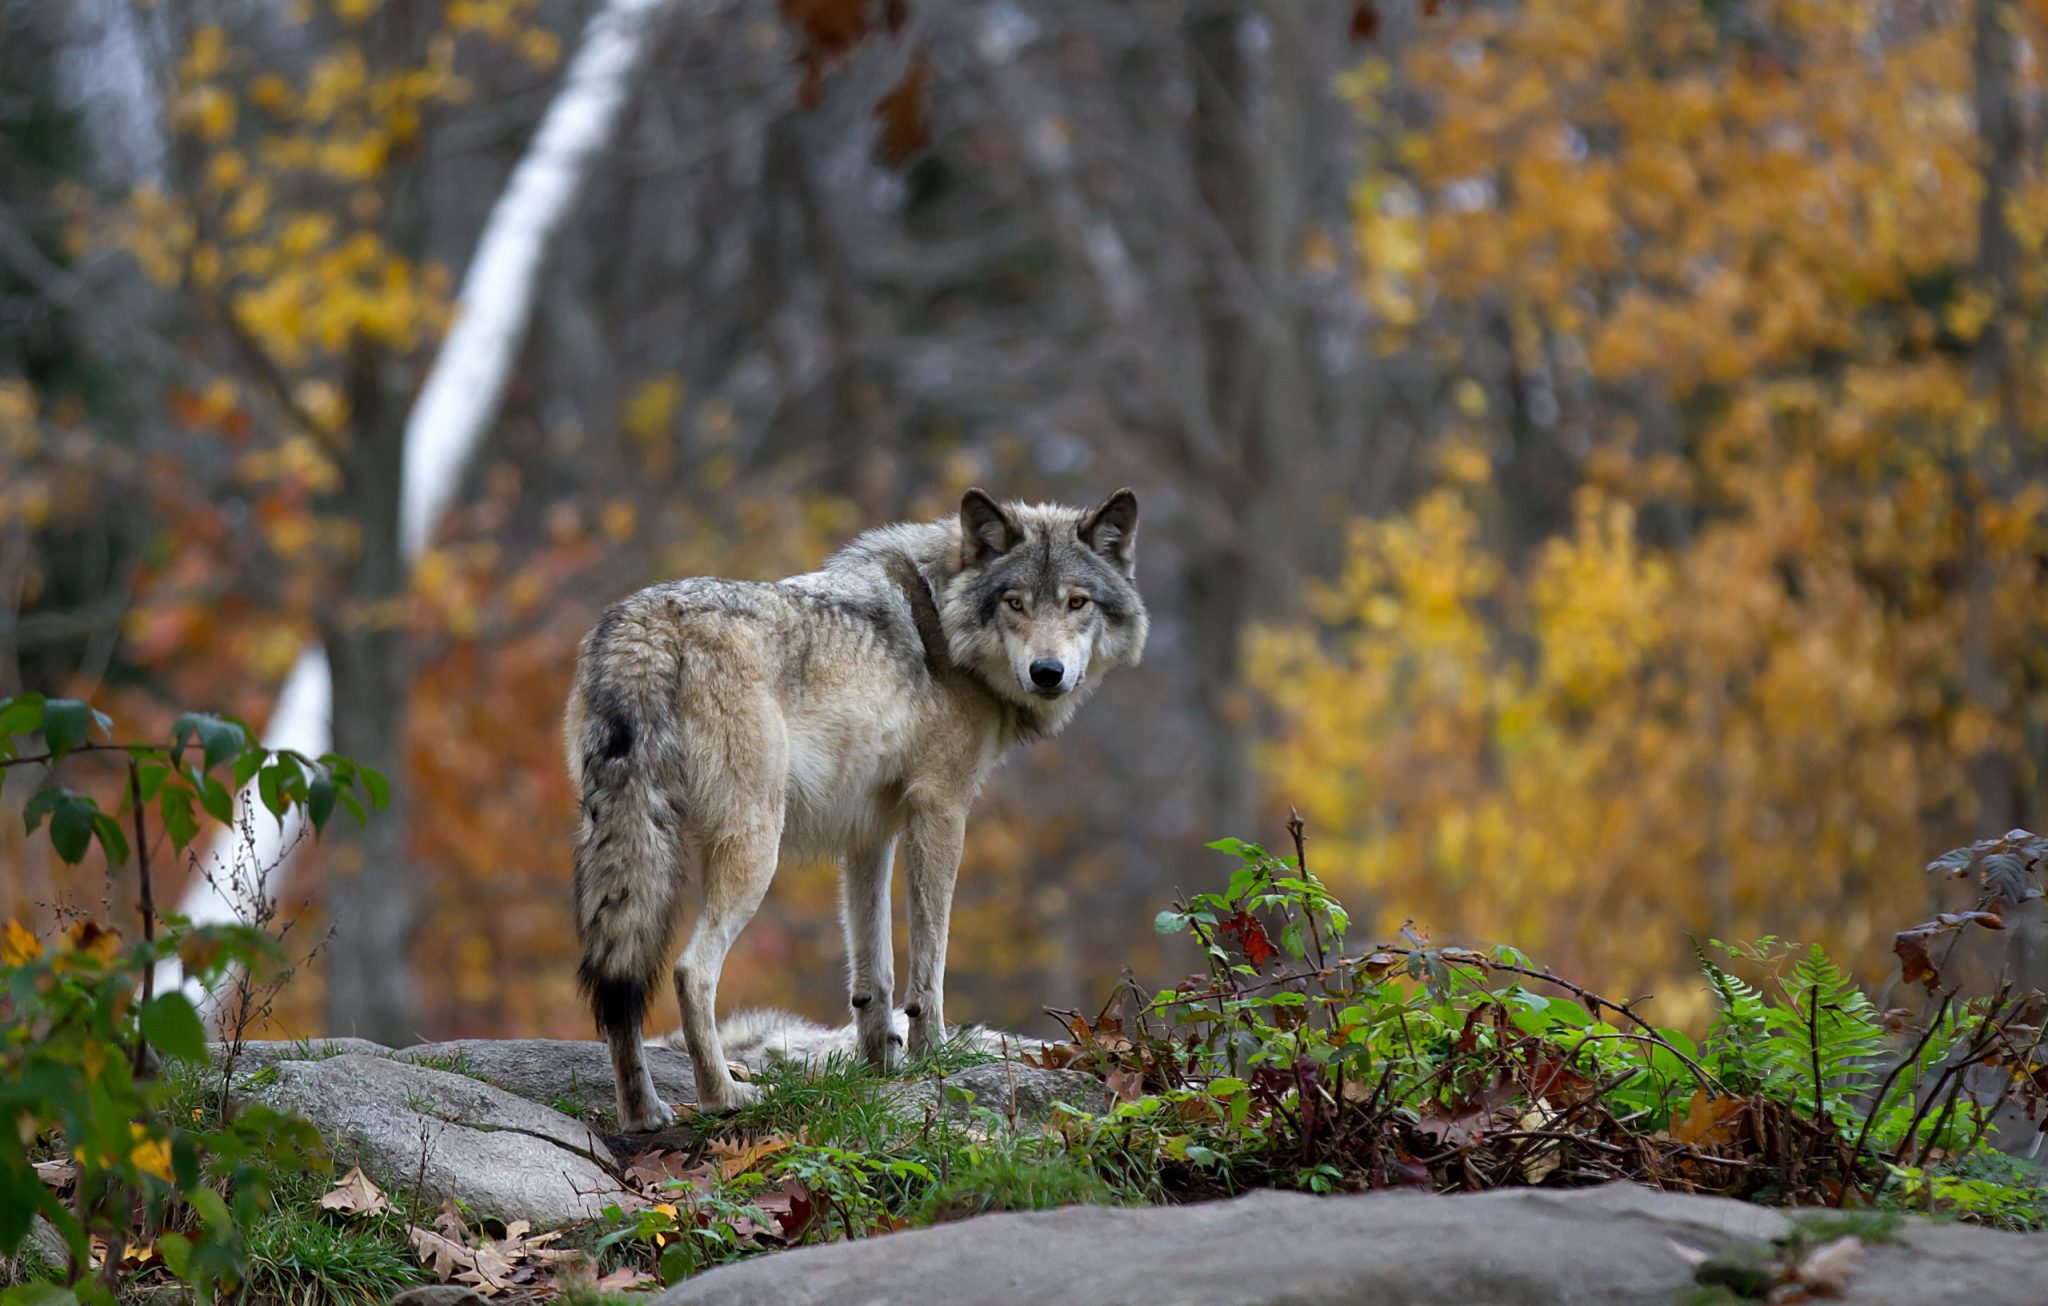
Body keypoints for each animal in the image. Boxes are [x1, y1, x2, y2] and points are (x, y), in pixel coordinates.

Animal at [569, 487, 1146, 1129]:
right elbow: (929, 962)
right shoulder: (941, 810)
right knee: (691, 971)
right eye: (1015, 603)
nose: (1048, 673)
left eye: (1077, 602)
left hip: (624, 843)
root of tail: (645, 627)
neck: (943, 622)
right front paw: (930, 1057)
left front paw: (880, 1067)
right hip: (754, 849)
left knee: (619, 983)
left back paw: (643, 1114)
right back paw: (725, 1096)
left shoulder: (870, 833)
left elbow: (875, 970)